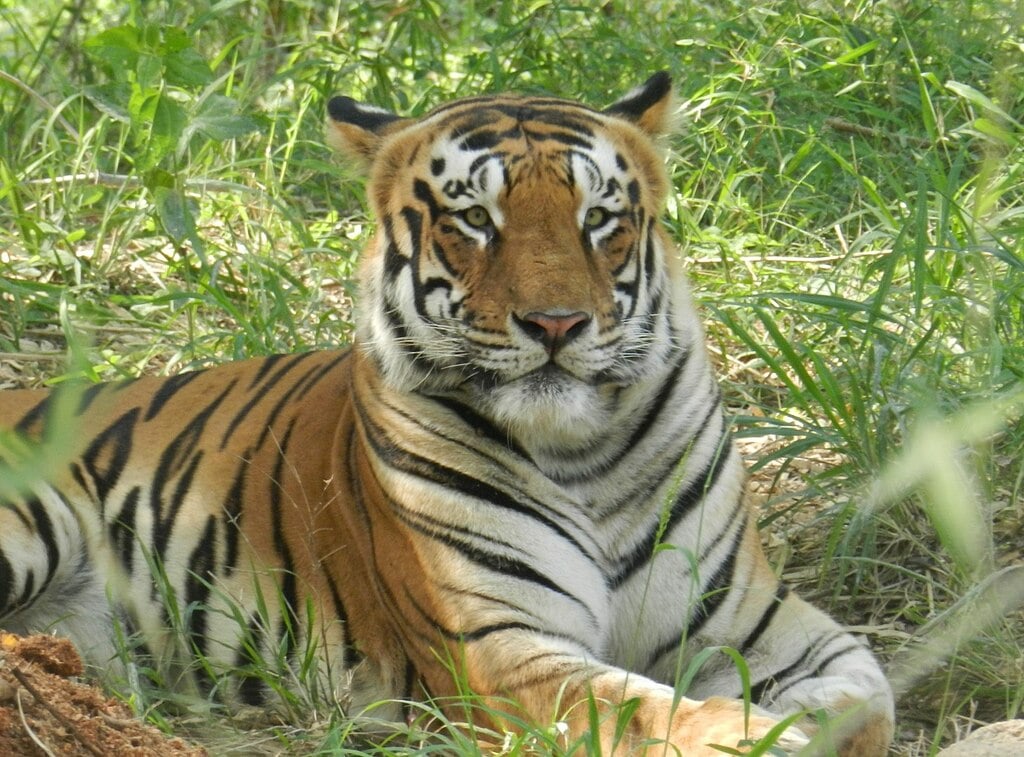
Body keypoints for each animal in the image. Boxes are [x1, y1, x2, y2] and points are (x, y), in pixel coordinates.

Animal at [0, 72, 894, 755]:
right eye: (475, 219)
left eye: (597, 218)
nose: (557, 324)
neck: (586, 453)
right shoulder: (501, 647)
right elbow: (636, 708)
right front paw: (746, 731)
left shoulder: (761, 621)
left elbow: (868, 693)